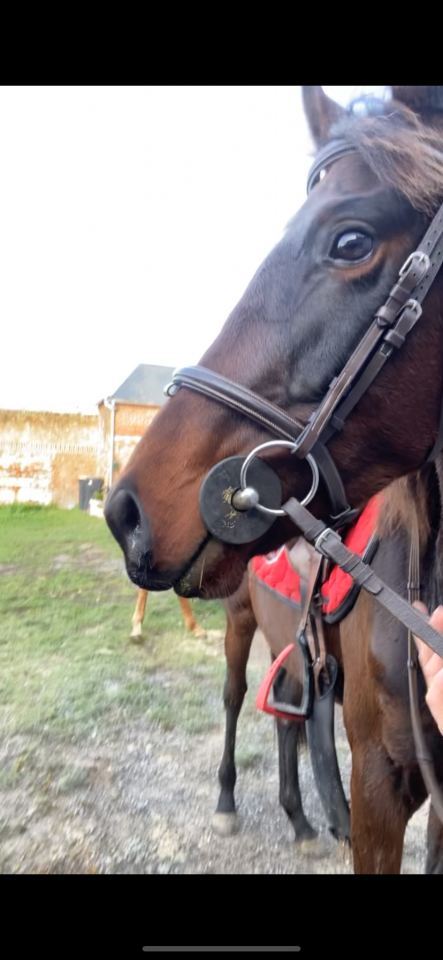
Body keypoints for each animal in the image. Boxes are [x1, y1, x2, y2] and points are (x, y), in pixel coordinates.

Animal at [104, 85, 443, 874]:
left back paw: (296, 814)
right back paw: (232, 803)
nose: (126, 511)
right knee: (237, 700)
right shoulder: (378, 779)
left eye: (350, 241)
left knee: (289, 719)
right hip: (237, 624)